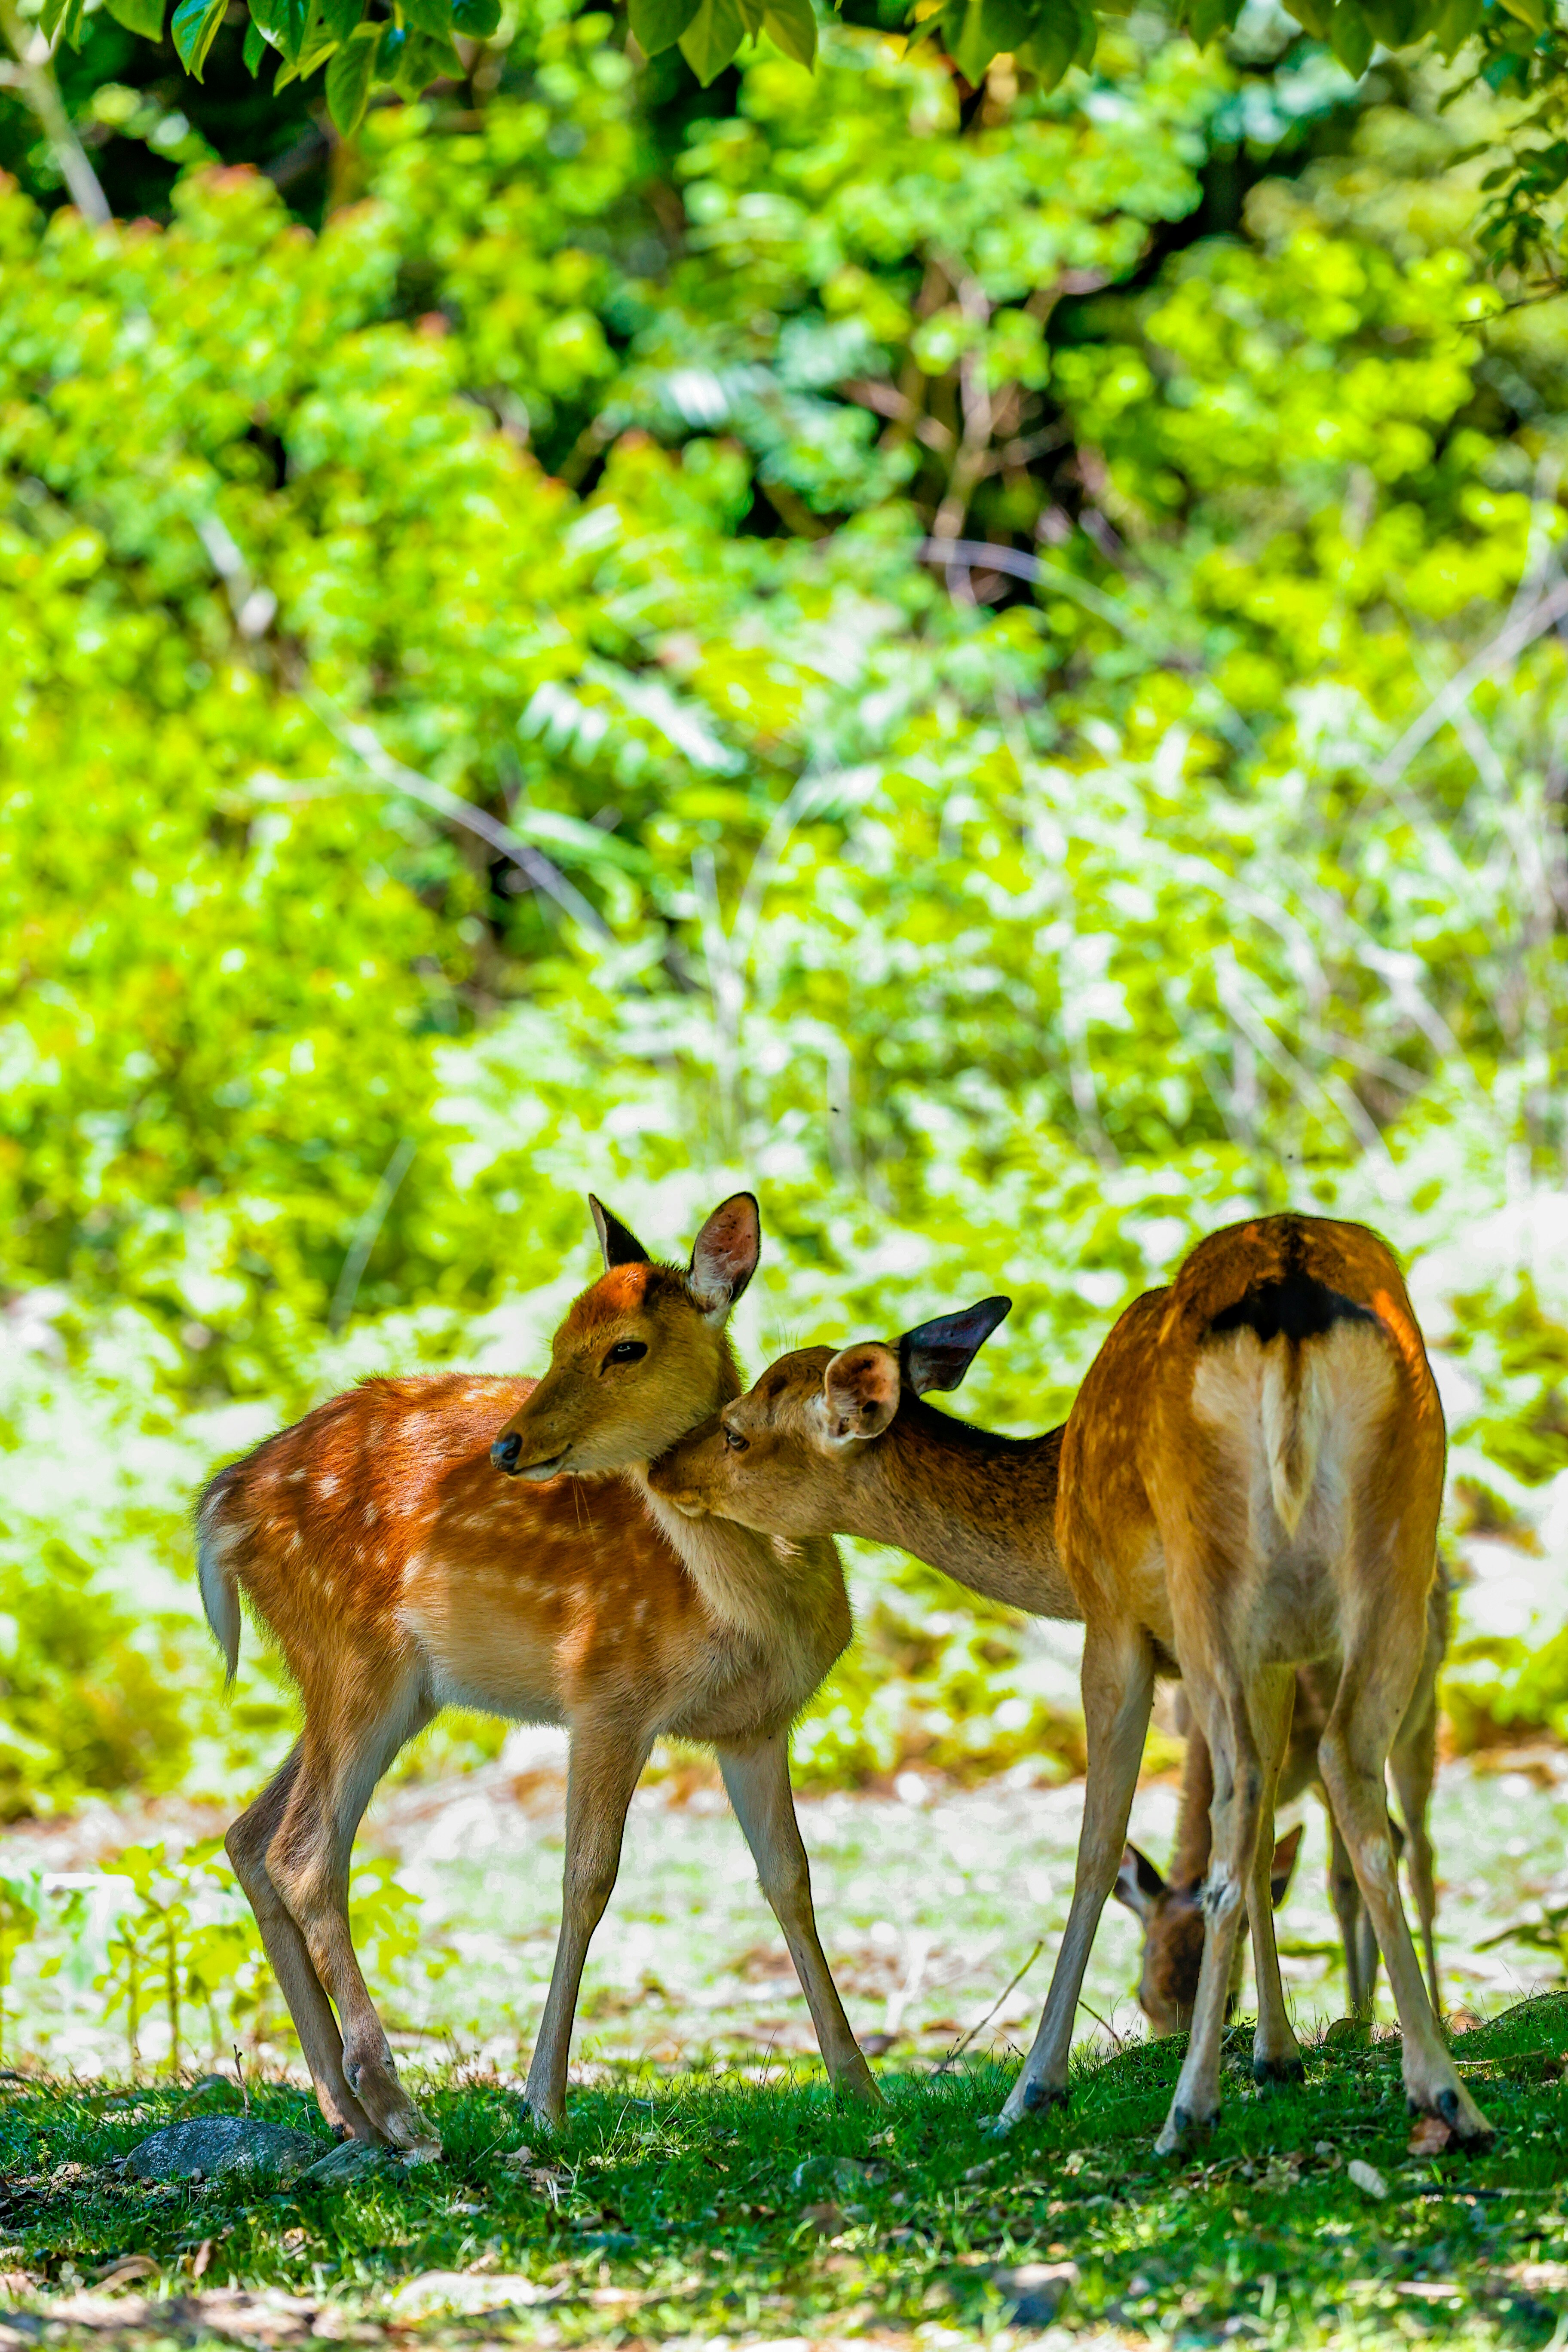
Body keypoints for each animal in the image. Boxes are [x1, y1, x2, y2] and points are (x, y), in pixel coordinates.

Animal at [198, 1193, 879, 2160]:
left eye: (625, 1347)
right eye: (557, 1337)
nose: (508, 1445)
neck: (748, 1607)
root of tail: (220, 1499)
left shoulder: (756, 1725)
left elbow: (790, 1878)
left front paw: (860, 2086)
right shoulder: (605, 1693)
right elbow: (587, 1879)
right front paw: (545, 2102)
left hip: (382, 1685)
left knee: (249, 1834)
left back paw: (346, 2107)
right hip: (355, 1654)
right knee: (304, 1853)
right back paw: (399, 2111)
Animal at [1115, 1560, 1447, 2037]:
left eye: (1231, 2002)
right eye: (1143, 1997)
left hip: (1420, 1718)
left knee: (1416, 1849)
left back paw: (1433, 2013)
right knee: (1388, 1845)